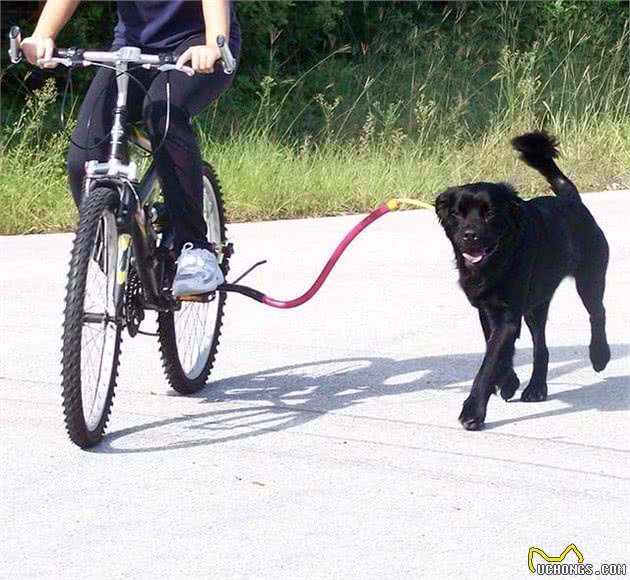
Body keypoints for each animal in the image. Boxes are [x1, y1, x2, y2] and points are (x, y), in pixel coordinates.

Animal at [436, 133, 608, 430]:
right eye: (458, 213)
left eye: (490, 213)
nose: (470, 235)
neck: (498, 261)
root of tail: (572, 200)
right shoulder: (487, 309)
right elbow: (496, 349)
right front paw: (508, 382)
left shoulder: (507, 314)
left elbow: (489, 362)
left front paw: (472, 412)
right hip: (536, 304)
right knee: (541, 346)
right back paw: (536, 388)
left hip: (590, 277)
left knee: (597, 313)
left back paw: (599, 356)